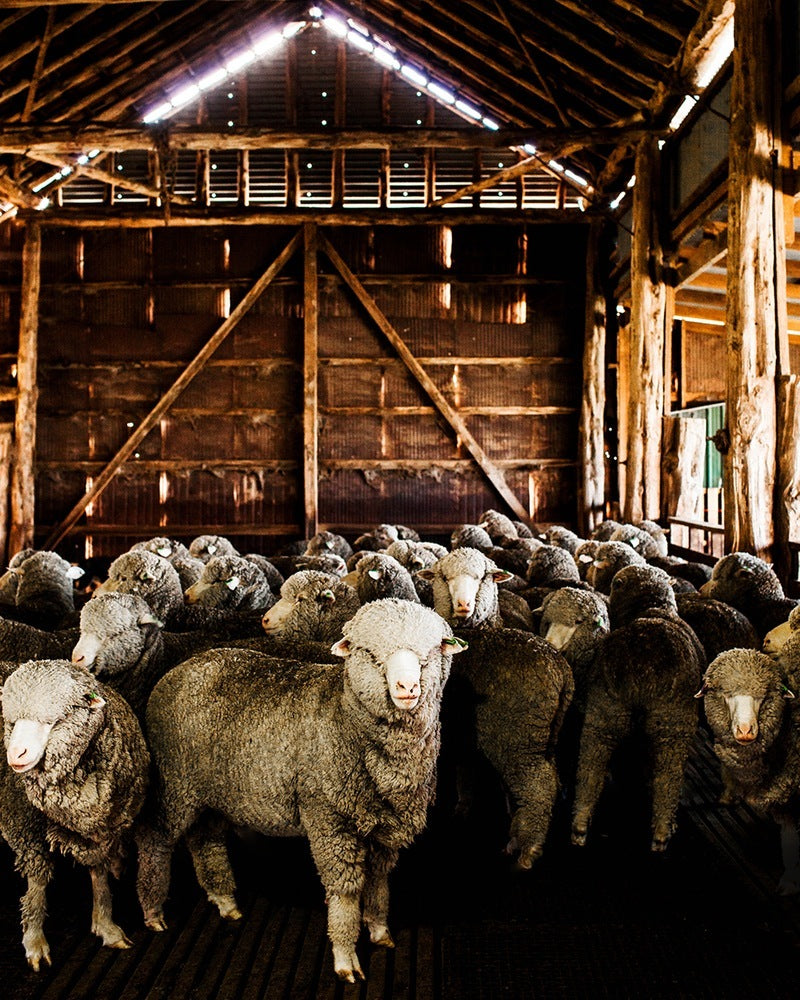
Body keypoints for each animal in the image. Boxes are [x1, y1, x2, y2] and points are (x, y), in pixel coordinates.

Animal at [2, 660, 150, 948]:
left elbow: (99, 873)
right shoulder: (24, 829)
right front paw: (34, 938)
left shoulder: (100, 831)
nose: (15, 755)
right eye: (11, 722)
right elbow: (37, 881)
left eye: (56, 719)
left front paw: (106, 924)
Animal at [135, 596, 466, 980]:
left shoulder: (383, 826)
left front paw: (379, 928)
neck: (346, 718)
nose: (407, 689)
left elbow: (379, 881)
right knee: (154, 838)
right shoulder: (329, 820)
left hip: (213, 793)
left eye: (433, 650)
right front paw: (345, 956)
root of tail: (180, 669)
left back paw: (225, 901)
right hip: (174, 781)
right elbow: (345, 891)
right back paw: (153, 911)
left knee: (205, 840)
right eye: (369, 653)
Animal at [568, 568, 708, 848]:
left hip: (606, 709)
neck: (652, 609)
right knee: (668, 775)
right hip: (672, 720)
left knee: (591, 765)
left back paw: (579, 825)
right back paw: (663, 831)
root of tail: (643, 665)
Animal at [692, 648, 800, 892]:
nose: (744, 731)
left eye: (763, 695)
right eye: (725, 694)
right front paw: (790, 881)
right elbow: (790, 836)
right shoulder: (786, 797)